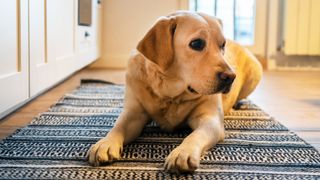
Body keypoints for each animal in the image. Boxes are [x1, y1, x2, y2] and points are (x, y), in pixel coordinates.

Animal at [88, 11, 262, 173]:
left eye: (222, 45)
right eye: (197, 43)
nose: (231, 77)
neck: (170, 93)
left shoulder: (210, 119)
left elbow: (195, 135)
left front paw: (183, 153)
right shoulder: (134, 113)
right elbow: (118, 126)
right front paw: (105, 143)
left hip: (255, 72)